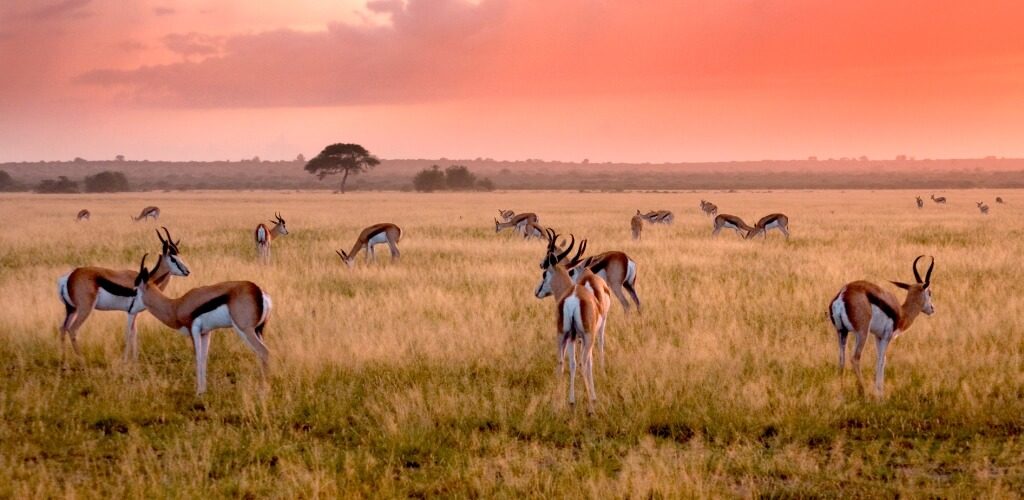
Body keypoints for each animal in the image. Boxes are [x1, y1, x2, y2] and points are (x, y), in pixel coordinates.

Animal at [57, 227, 192, 362]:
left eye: (179, 257)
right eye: (173, 259)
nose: (187, 271)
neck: (147, 280)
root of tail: (69, 277)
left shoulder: (135, 313)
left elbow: (134, 333)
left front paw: (135, 361)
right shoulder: (130, 312)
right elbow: (128, 334)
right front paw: (126, 361)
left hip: (71, 309)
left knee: (63, 328)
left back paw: (64, 363)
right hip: (84, 309)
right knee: (72, 329)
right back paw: (81, 361)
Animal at [129, 258, 272, 395]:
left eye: (135, 291)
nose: (130, 309)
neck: (176, 306)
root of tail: (259, 291)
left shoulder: (193, 330)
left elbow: (197, 358)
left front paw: (198, 391)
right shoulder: (205, 333)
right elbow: (204, 358)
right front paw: (203, 390)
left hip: (245, 330)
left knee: (264, 352)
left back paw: (263, 391)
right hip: (258, 330)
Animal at [831, 256, 937, 395]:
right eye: (929, 292)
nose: (932, 308)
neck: (901, 312)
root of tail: (843, 294)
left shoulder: (878, 336)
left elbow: (879, 359)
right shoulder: (887, 337)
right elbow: (882, 360)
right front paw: (880, 393)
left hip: (841, 332)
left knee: (841, 361)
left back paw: (841, 393)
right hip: (862, 333)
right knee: (855, 358)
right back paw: (863, 392)